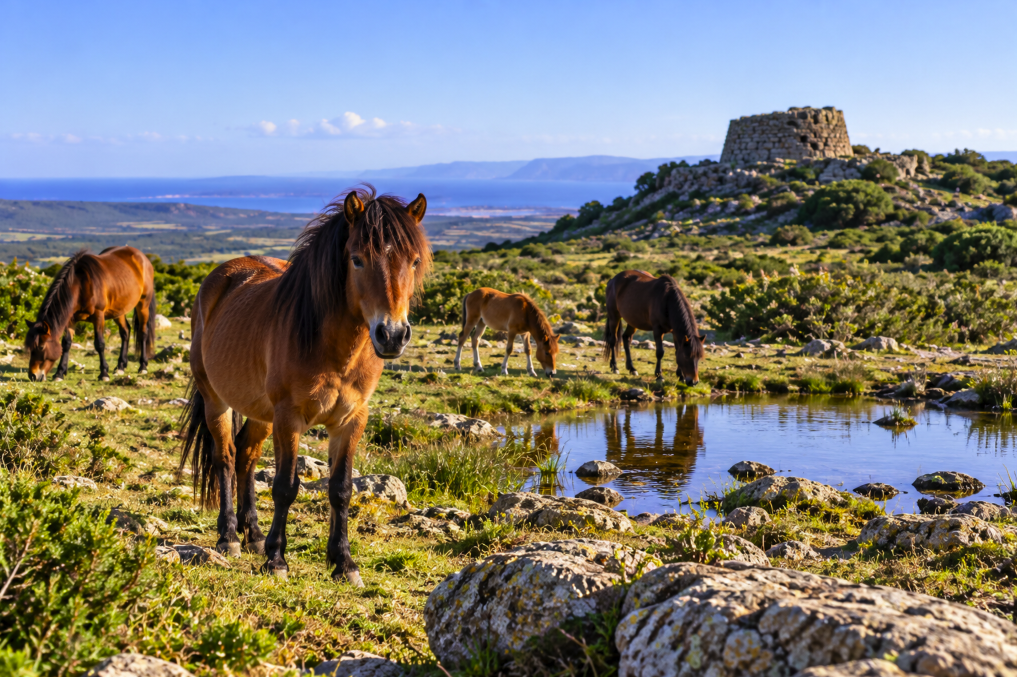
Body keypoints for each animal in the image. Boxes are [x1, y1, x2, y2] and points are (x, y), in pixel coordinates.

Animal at [25, 247, 156, 382]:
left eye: (41, 347)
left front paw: (104, 373)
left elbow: (99, 344)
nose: (33, 376)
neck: (81, 285)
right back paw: (120, 366)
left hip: (143, 305)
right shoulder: (71, 319)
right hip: (118, 310)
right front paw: (59, 373)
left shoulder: (98, 316)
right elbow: (66, 344)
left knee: (142, 333)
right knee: (125, 332)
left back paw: (143, 366)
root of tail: (142, 257)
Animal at [179, 187, 431, 585]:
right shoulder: (289, 417)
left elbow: (341, 489)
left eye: (414, 260)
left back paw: (253, 535)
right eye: (357, 260)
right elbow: (285, 487)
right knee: (226, 458)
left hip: (260, 411)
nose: (391, 335)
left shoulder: (351, 420)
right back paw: (230, 537)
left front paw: (344, 563)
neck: (333, 349)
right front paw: (277, 560)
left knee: (246, 456)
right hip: (216, 399)